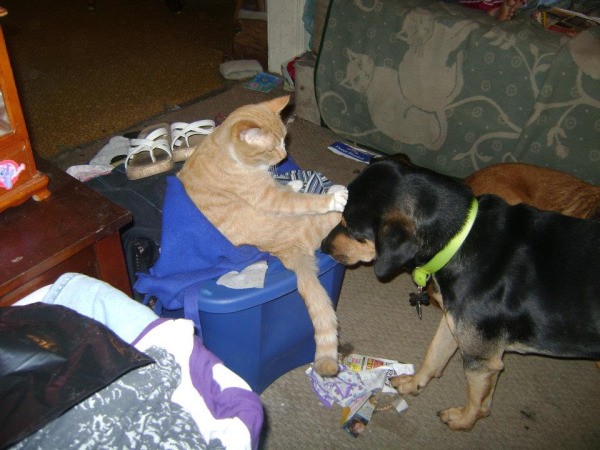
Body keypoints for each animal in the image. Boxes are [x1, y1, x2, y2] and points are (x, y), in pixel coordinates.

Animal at [178, 96, 346, 376]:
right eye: (270, 148)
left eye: (284, 140)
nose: (284, 155)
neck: (224, 151)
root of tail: (287, 255)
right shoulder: (270, 198)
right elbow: (303, 201)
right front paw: (328, 197)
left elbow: (285, 187)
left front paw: (294, 183)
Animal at [324, 156, 600, 430]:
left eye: (351, 228)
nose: (324, 246)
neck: (460, 239)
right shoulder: (454, 323)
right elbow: (433, 356)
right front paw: (413, 384)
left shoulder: (482, 358)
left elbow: (478, 403)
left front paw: (463, 421)